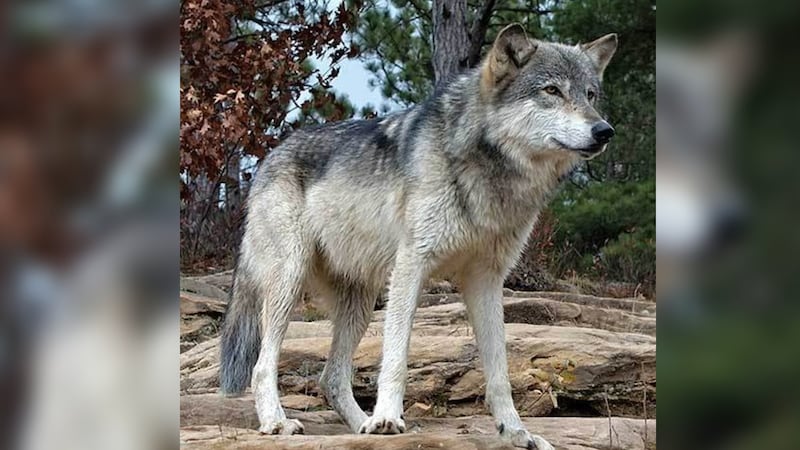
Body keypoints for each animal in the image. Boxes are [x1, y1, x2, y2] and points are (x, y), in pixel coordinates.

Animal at [219, 24, 617, 449]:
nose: (604, 130)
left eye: (590, 95)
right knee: (263, 365)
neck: (487, 170)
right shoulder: (412, 264)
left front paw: (517, 433)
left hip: (361, 304)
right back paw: (279, 423)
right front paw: (388, 419)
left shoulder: (487, 280)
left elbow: (499, 373)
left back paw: (360, 424)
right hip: (290, 284)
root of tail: (268, 158)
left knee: (331, 378)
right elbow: (396, 355)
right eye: (552, 90)